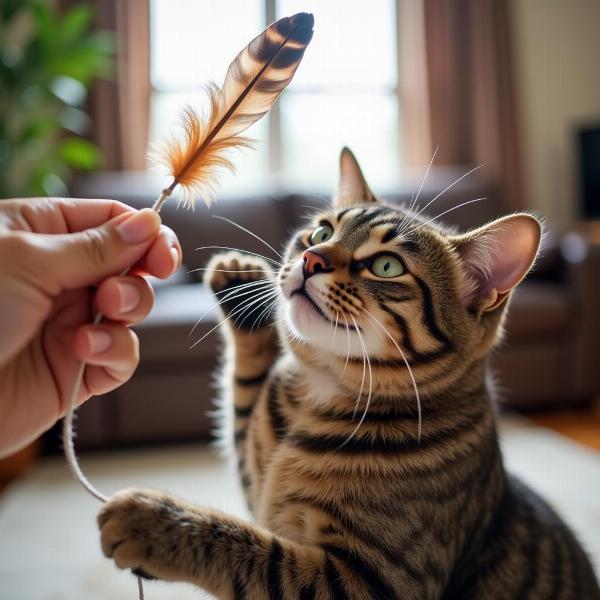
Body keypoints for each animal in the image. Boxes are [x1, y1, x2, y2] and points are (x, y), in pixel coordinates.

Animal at [98, 148, 600, 596]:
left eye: (386, 265)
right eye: (322, 230)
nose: (312, 258)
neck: (320, 391)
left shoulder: (372, 580)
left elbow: (256, 552)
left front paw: (156, 523)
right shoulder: (256, 479)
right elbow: (243, 400)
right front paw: (240, 287)